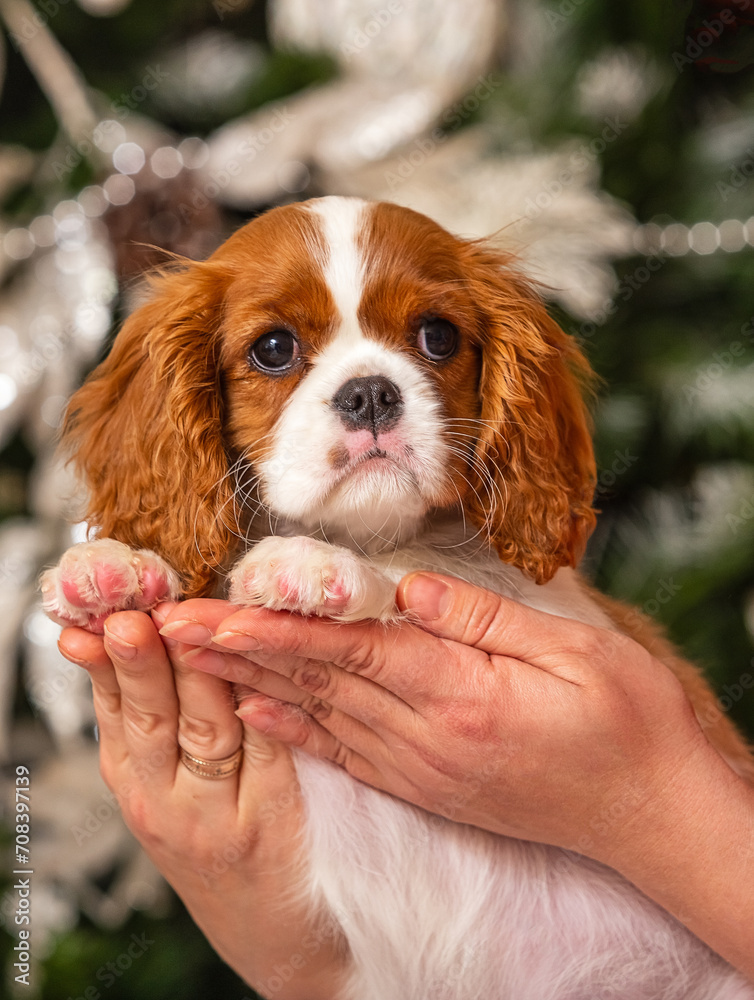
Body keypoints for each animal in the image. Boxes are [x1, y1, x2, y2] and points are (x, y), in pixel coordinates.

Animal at [42, 197, 752, 1000]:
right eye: (274, 348)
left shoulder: (542, 606)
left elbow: (424, 567)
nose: (371, 393)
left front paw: (312, 563)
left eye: (437, 336)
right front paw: (116, 567)